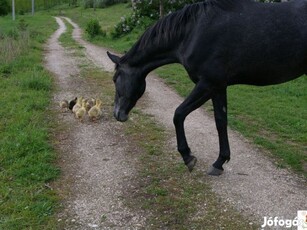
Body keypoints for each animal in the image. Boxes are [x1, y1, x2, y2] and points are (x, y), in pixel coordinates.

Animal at [107, 0, 306, 175]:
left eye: (116, 78)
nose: (117, 114)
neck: (193, 32)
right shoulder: (218, 87)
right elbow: (220, 121)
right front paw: (220, 162)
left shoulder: (208, 83)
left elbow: (178, 114)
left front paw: (187, 156)